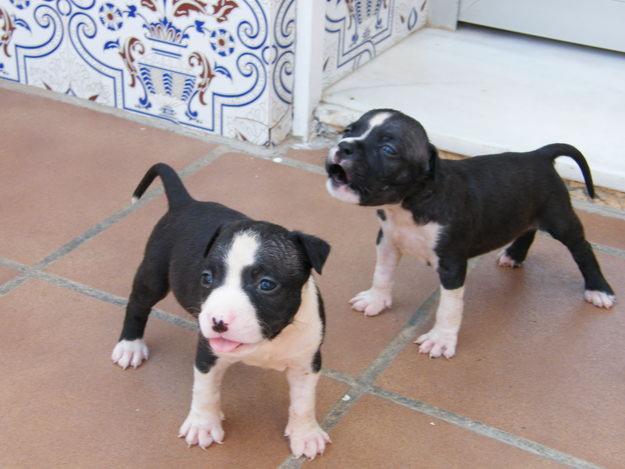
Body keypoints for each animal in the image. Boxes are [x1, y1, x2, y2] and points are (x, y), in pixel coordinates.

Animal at [111, 163, 332, 458]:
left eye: (266, 285)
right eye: (206, 278)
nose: (217, 322)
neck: (269, 339)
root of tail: (186, 202)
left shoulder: (307, 361)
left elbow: (303, 402)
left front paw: (306, 434)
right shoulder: (207, 354)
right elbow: (205, 392)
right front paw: (203, 426)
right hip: (153, 274)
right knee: (137, 304)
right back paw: (130, 346)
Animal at [326, 109, 616, 358]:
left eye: (388, 150)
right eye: (349, 130)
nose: (344, 146)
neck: (412, 202)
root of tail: (539, 155)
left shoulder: (452, 264)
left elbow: (449, 307)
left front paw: (441, 340)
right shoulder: (387, 240)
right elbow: (382, 273)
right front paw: (376, 299)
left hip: (560, 220)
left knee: (582, 248)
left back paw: (599, 289)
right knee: (528, 230)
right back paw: (514, 255)